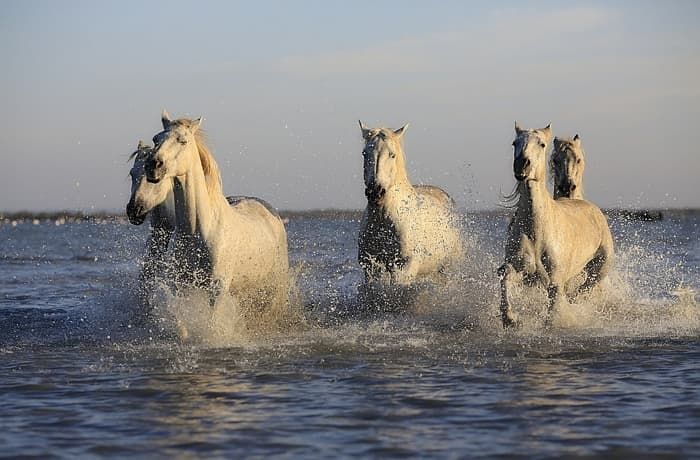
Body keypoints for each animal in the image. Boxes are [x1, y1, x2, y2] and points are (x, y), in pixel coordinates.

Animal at [145, 112, 290, 312]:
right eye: (155, 138)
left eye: (183, 140)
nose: (153, 165)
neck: (198, 230)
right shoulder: (181, 286)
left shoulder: (217, 289)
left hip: (276, 285)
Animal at [358, 121, 462, 288]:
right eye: (364, 153)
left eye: (392, 154)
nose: (375, 192)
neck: (383, 220)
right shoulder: (371, 267)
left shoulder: (404, 267)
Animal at [498, 123, 612, 328]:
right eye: (514, 143)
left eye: (542, 144)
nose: (521, 165)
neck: (536, 230)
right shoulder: (522, 269)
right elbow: (506, 277)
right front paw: (510, 318)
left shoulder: (555, 280)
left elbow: (554, 306)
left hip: (599, 269)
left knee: (584, 289)